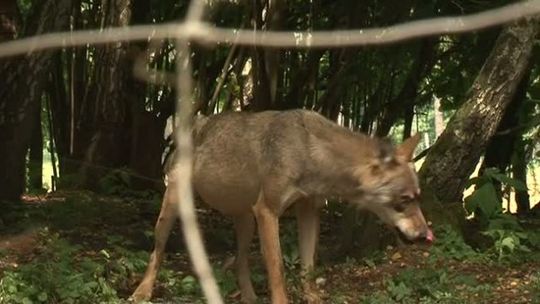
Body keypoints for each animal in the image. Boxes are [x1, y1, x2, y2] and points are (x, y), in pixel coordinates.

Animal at [131, 109, 434, 304]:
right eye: (404, 200)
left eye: (418, 197)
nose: (425, 235)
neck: (310, 152)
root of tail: (196, 121)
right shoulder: (268, 211)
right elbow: (277, 269)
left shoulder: (309, 211)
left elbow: (308, 267)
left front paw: (313, 298)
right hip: (172, 210)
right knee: (156, 252)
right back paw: (141, 293)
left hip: (246, 222)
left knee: (240, 260)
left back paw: (249, 297)